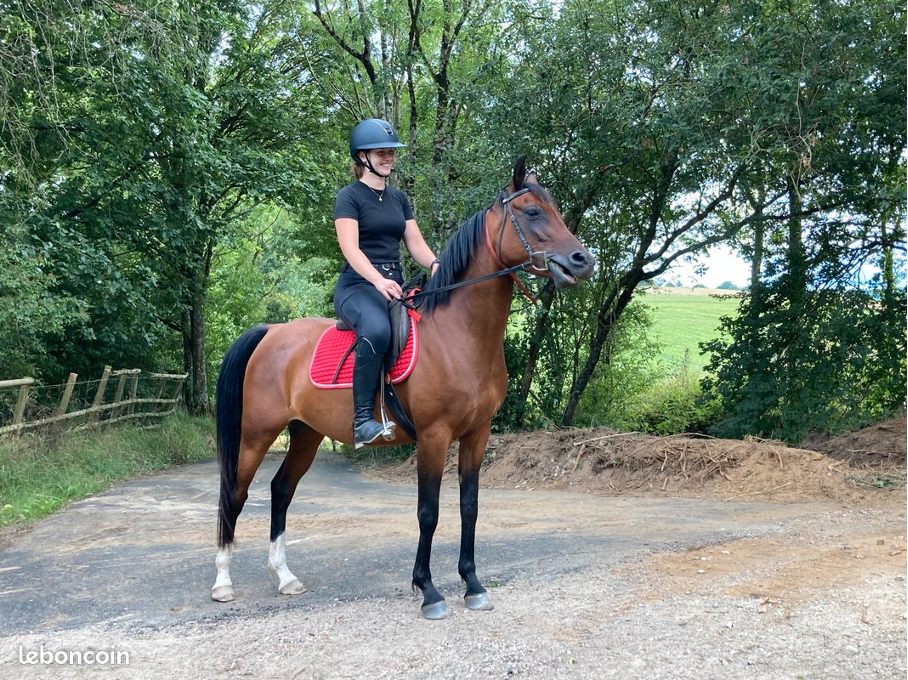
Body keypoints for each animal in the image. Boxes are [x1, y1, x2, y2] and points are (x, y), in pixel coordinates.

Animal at [212, 156, 596, 619]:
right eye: (533, 212)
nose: (583, 261)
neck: (457, 335)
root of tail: (270, 332)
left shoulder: (477, 434)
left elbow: (469, 507)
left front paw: (472, 584)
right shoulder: (433, 436)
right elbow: (428, 512)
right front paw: (428, 590)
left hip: (306, 433)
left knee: (281, 490)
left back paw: (285, 578)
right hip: (256, 435)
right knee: (235, 493)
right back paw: (223, 583)